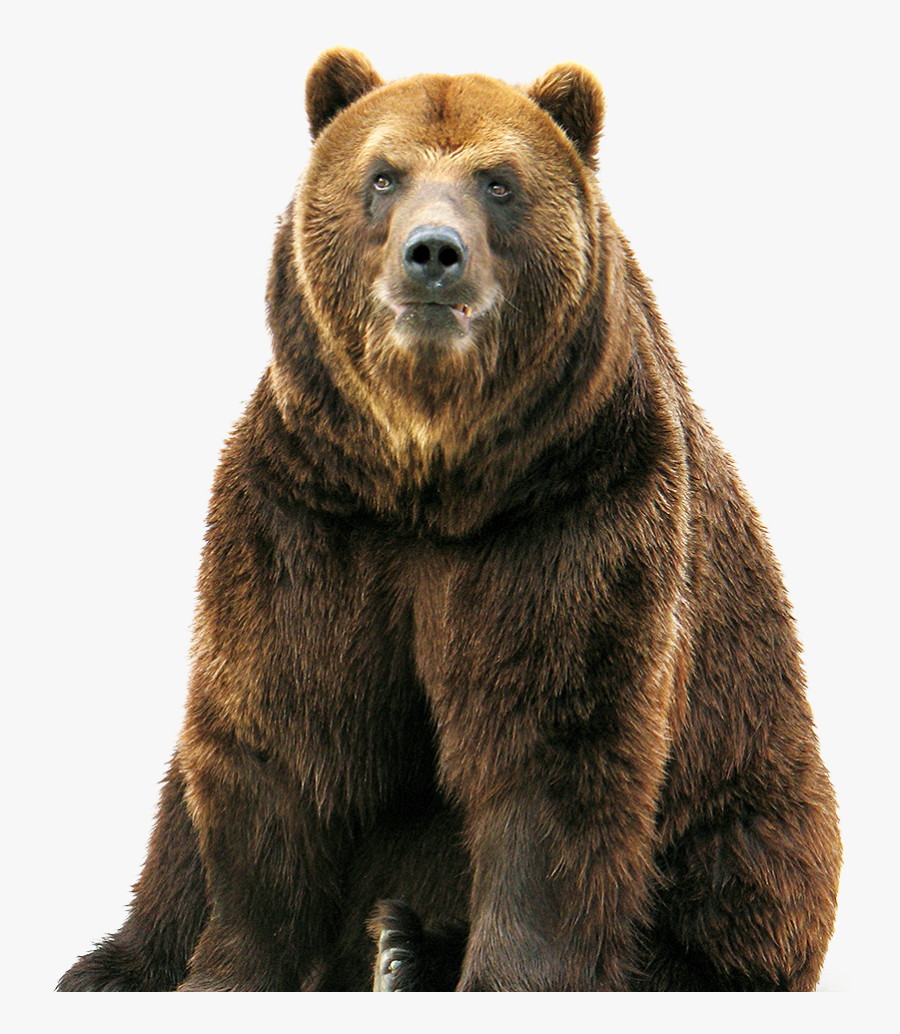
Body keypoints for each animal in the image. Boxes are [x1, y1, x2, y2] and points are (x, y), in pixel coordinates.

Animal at [57, 48, 841, 992]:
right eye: (383, 175)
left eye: (498, 182)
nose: (434, 253)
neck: (432, 475)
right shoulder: (309, 510)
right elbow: (281, 724)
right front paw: (227, 971)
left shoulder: (573, 512)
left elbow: (552, 746)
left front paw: (503, 975)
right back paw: (125, 963)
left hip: (752, 775)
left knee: (746, 873)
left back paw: (423, 948)